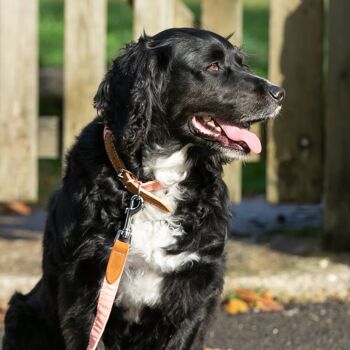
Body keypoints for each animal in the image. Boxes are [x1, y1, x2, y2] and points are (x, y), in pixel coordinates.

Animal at [3, 28, 284, 348]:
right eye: (213, 67)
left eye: (239, 62)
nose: (279, 93)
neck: (150, 188)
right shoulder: (84, 288)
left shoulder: (196, 288)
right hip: (20, 311)